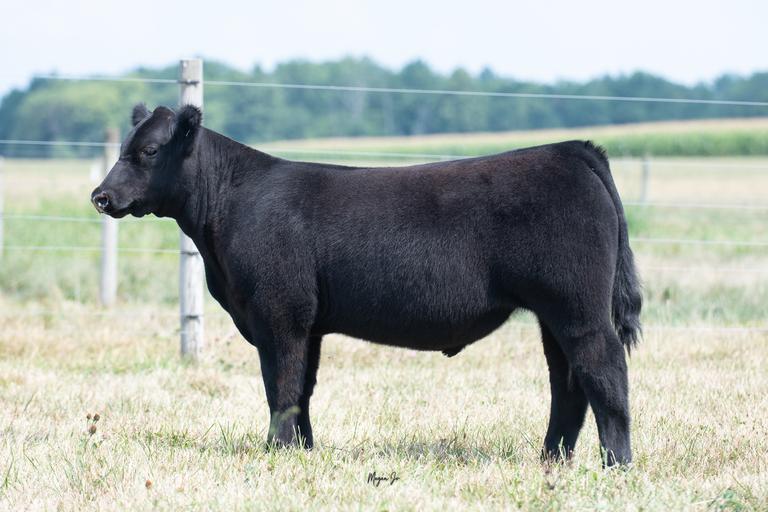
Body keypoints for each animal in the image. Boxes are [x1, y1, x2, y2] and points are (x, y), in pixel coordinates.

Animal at [91, 104, 642, 466]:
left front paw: (276, 452)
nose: (100, 196)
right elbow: (303, 387)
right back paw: (552, 460)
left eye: (149, 150)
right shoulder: (308, 323)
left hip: (578, 308)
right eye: (123, 148)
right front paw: (304, 451)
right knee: (567, 382)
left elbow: (281, 385)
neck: (230, 203)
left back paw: (616, 463)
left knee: (603, 369)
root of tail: (571, 150)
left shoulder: (279, 314)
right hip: (555, 315)